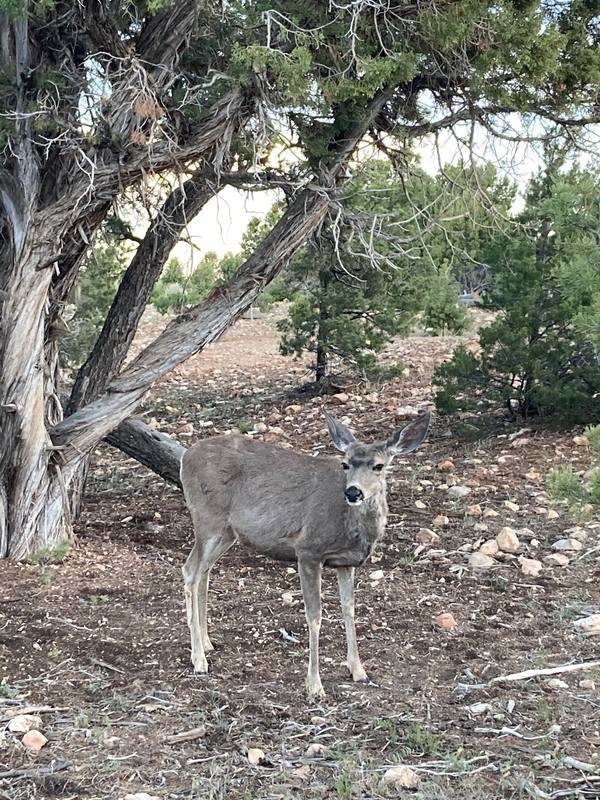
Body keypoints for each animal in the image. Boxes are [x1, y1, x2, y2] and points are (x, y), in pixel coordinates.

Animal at [180, 410, 428, 696]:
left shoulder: (345, 562)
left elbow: (349, 609)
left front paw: (359, 671)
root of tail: (185, 456)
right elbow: (315, 616)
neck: (351, 527)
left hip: (226, 531)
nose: (353, 491)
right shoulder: (308, 550)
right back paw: (198, 659)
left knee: (204, 571)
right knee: (190, 571)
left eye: (379, 466)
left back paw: (207, 642)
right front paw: (315, 684)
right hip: (207, 518)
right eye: (345, 464)